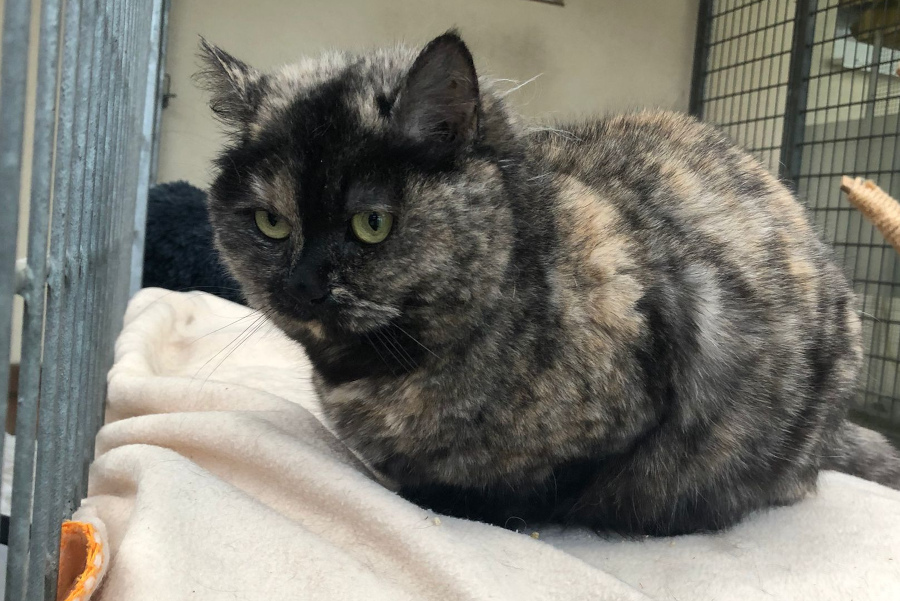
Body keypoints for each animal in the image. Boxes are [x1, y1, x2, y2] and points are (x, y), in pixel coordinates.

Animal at [198, 32, 900, 535]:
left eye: (372, 224)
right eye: (270, 222)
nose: (303, 285)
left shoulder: (632, 409)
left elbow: (533, 486)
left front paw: (453, 500)